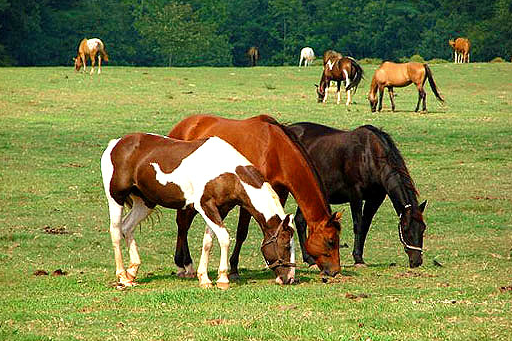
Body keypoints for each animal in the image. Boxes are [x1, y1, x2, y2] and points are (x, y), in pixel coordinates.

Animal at [101, 133, 296, 290]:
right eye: (286, 245)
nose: (290, 279)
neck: (227, 173)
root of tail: (115, 144)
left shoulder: (219, 210)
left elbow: (208, 242)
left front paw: (205, 279)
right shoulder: (205, 207)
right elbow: (224, 238)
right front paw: (223, 279)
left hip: (145, 203)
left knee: (127, 228)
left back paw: (132, 271)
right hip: (116, 198)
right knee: (116, 232)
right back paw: (122, 277)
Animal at [169, 114, 344, 278]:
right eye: (330, 241)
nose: (335, 271)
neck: (275, 150)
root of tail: (184, 125)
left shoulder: (279, 194)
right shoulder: (250, 198)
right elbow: (242, 233)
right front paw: (234, 269)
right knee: (183, 224)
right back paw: (183, 264)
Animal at [288, 122, 428, 268]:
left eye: (423, 229)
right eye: (406, 230)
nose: (417, 261)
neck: (369, 155)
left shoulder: (375, 199)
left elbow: (365, 226)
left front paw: (359, 257)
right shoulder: (355, 194)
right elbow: (358, 224)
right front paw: (358, 259)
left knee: (300, 221)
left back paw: (309, 259)